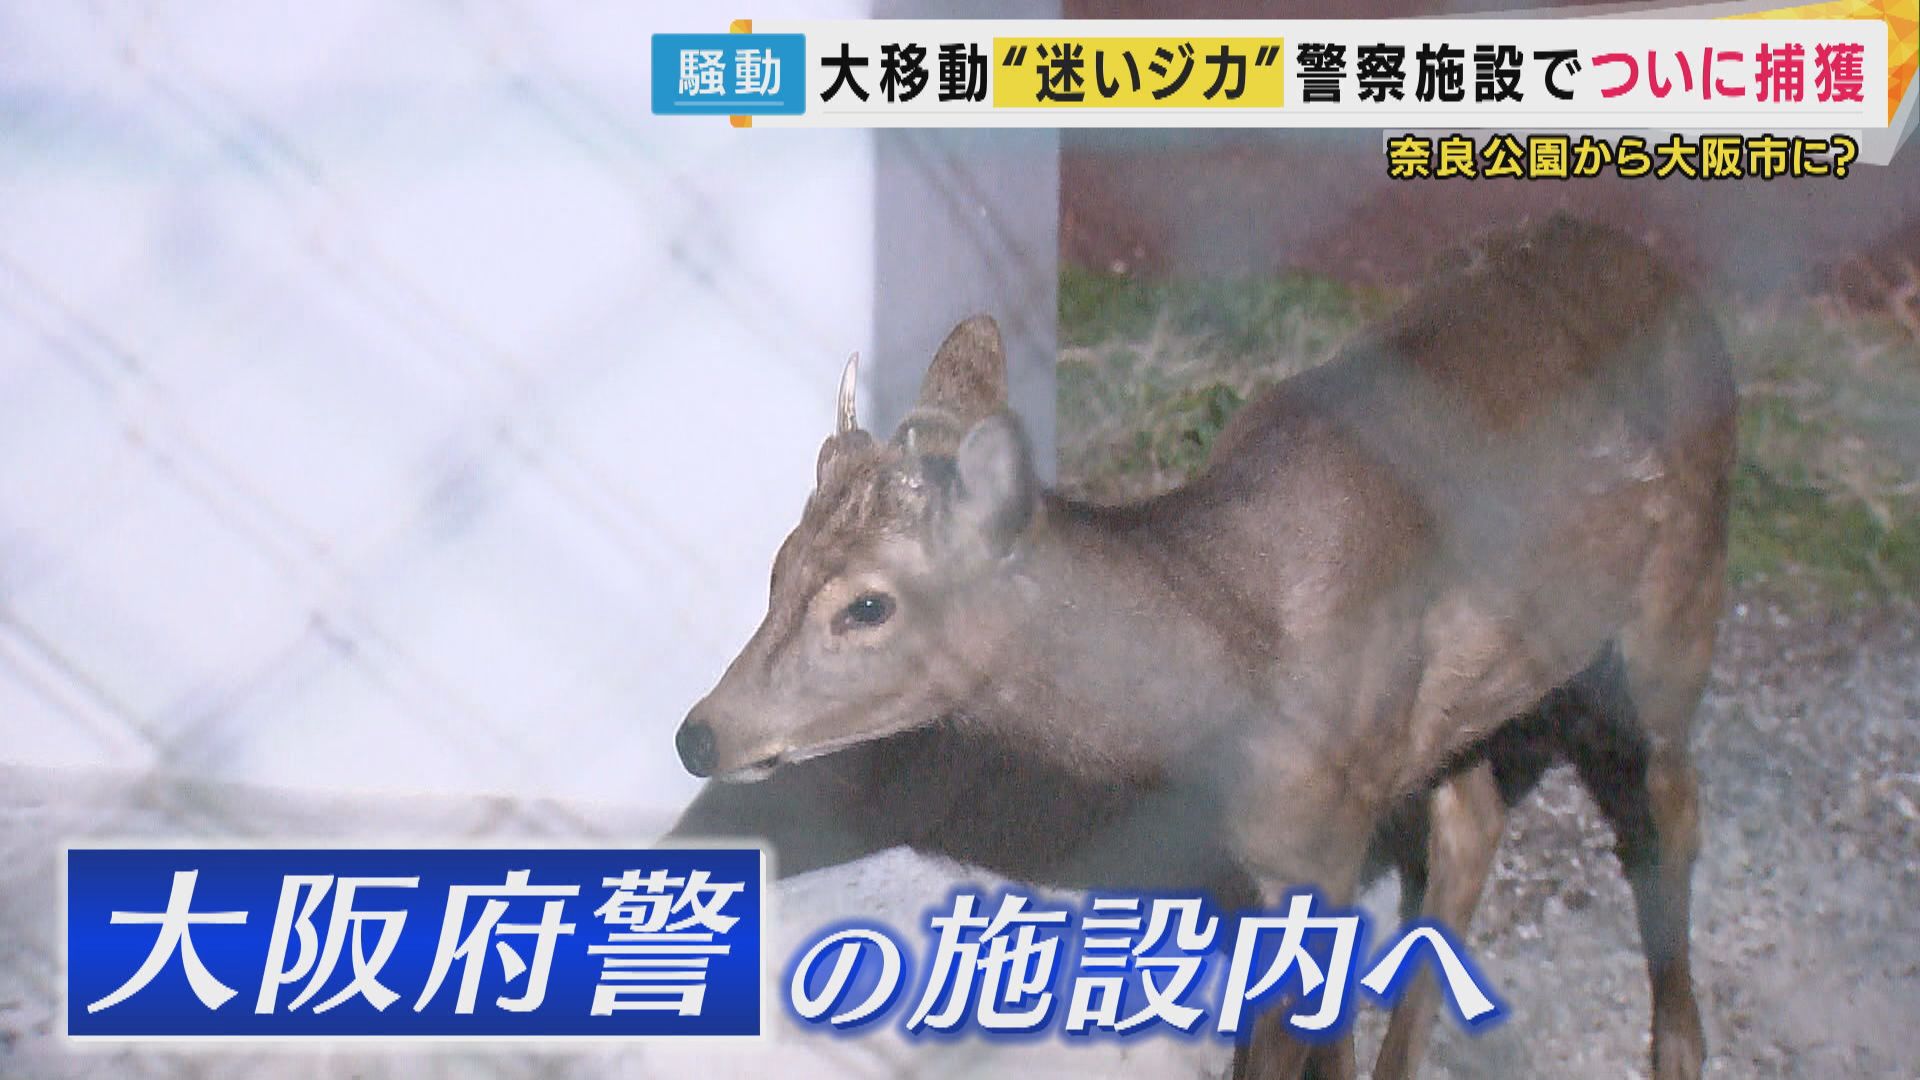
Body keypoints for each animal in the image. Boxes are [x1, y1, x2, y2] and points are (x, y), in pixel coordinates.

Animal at [665, 215, 1735, 1080]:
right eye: (779, 566)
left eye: (868, 607)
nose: (700, 735)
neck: (1223, 670)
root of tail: (1672, 279)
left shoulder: (1319, 832)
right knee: (1470, 819)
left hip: (1682, 586)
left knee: (1672, 797)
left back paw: (1682, 1046)